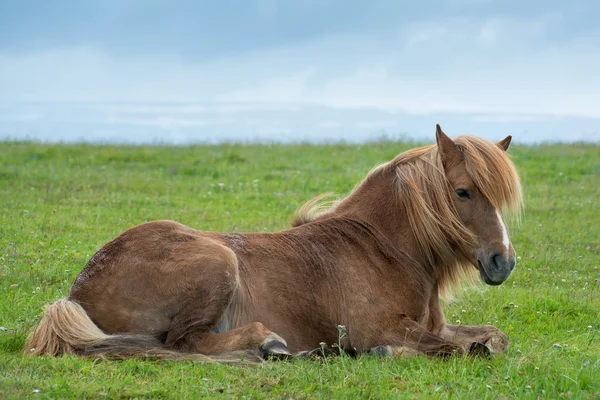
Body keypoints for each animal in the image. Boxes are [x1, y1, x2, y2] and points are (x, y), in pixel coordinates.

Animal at [24, 125, 520, 362]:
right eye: (463, 192)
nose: (504, 261)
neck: (382, 249)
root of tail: (76, 292)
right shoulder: (378, 329)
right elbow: (450, 348)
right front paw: (389, 353)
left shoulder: (435, 325)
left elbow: (493, 337)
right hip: (218, 261)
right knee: (183, 343)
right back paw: (267, 344)